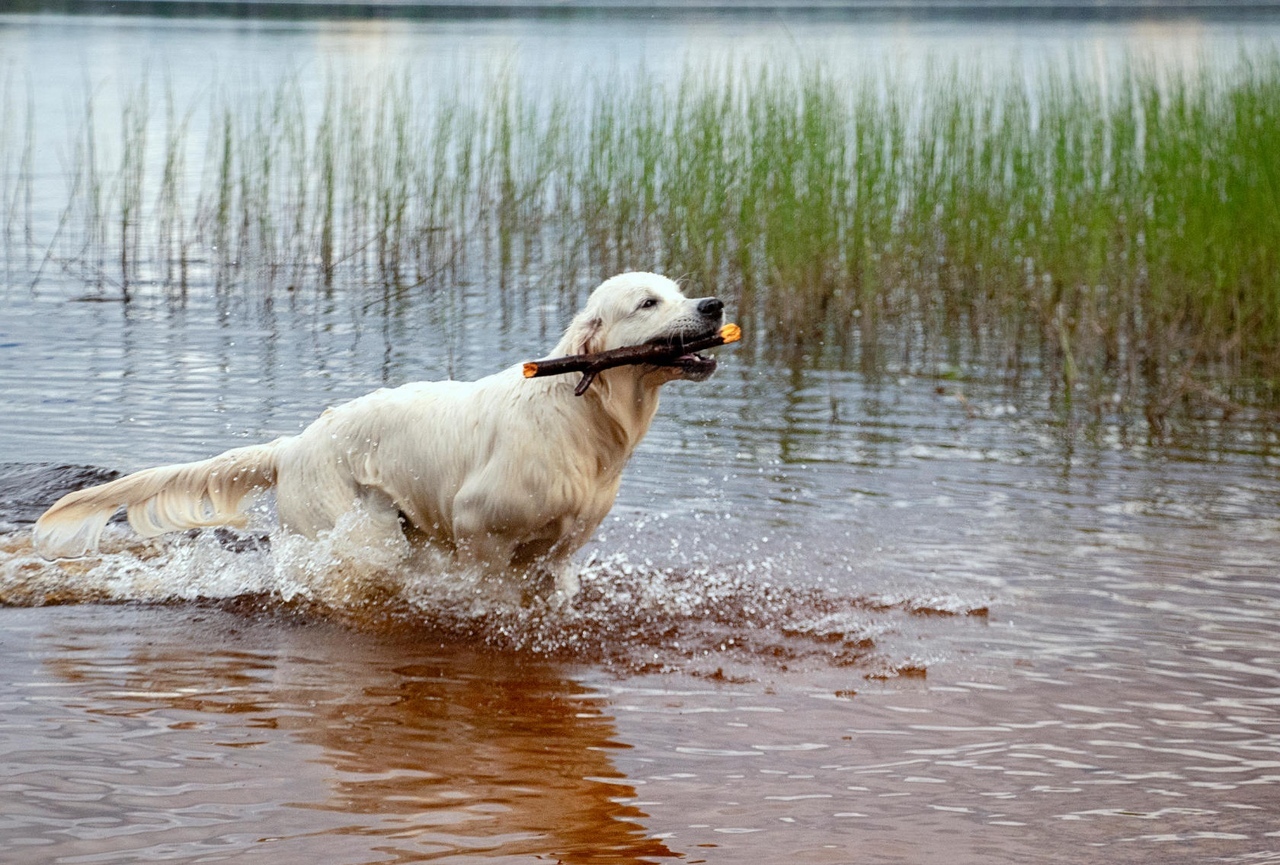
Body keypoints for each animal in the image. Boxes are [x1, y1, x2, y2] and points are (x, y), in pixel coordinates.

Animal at [32, 273, 732, 598]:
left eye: (676, 291)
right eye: (647, 303)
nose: (715, 305)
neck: (581, 417)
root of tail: (293, 446)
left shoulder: (561, 551)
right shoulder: (478, 526)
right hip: (357, 529)